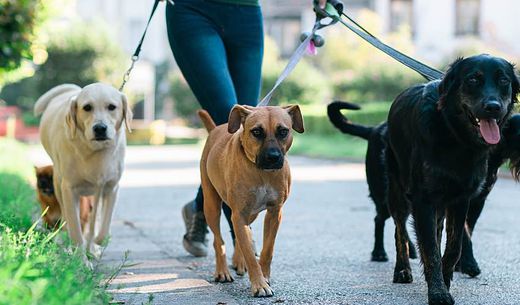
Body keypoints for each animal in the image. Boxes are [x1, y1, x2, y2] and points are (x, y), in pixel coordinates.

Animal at [34, 83, 131, 262]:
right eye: (87, 107)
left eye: (112, 107)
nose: (100, 128)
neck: (94, 151)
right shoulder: (69, 190)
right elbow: (75, 230)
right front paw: (81, 260)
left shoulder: (110, 187)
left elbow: (103, 228)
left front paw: (96, 245)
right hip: (59, 185)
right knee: (66, 219)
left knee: (93, 224)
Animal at [199, 104, 304, 294]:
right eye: (256, 132)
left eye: (283, 131)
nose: (273, 157)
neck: (262, 173)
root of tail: (215, 129)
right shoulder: (239, 213)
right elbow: (249, 252)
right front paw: (259, 284)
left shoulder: (274, 213)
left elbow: (267, 249)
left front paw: (265, 276)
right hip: (211, 206)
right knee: (219, 241)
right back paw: (222, 271)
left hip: (251, 214)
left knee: (242, 235)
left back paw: (238, 261)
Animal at [328, 100, 520, 276]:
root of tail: (375, 130)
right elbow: (463, 234)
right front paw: (468, 264)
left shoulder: (477, 200)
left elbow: (465, 231)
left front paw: (461, 263)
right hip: (385, 193)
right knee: (382, 219)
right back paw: (380, 253)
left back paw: (411, 249)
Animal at [386, 55, 516, 304]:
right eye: (473, 79)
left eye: (504, 80)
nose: (493, 107)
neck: (455, 136)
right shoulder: (423, 200)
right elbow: (430, 250)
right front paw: (438, 292)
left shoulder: (461, 198)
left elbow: (453, 245)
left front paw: (443, 280)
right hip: (397, 192)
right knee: (400, 230)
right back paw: (402, 270)